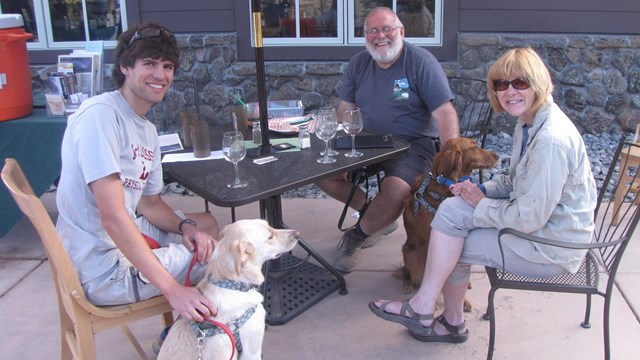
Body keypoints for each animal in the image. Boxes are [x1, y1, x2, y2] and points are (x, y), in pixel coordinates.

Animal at [398, 138, 498, 306]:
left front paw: (463, 301)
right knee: (409, 272)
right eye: (474, 147)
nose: (497, 155)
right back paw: (408, 285)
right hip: (410, 252)